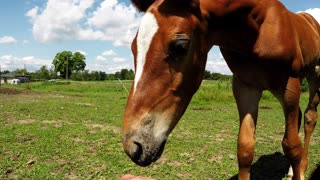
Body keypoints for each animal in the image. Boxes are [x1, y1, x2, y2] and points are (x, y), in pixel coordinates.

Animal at [120, 0, 320, 179]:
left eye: (180, 46)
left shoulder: (289, 85)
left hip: (313, 76)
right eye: (133, 48)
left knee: (309, 118)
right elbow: (245, 148)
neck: (258, 32)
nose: (133, 146)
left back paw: (302, 167)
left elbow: (292, 147)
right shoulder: (246, 87)